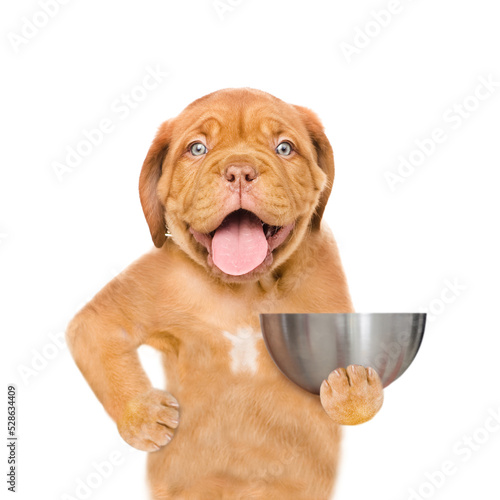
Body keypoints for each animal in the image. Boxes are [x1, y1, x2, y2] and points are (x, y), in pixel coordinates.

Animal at [67, 90, 382, 500]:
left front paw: (352, 390)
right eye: (197, 148)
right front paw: (145, 416)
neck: (244, 292)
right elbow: (103, 351)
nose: (240, 171)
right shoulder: (113, 312)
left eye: (284, 148)